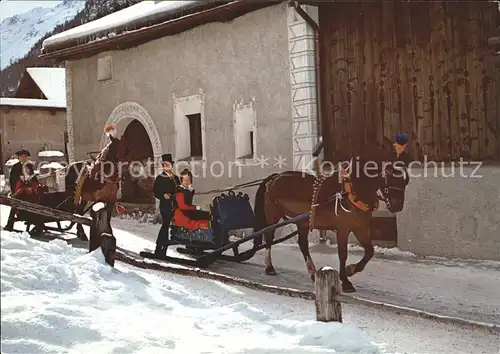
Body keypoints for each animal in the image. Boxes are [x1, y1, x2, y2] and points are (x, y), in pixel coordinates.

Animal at [252, 139, 408, 294]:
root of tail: (275, 177)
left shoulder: (360, 228)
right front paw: (345, 281)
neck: (351, 191)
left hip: (303, 222)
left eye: (406, 179)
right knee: (269, 237)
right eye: (390, 172)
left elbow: (370, 251)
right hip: (273, 216)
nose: (397, 206)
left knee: (303, 244)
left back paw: (313, 272)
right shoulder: (342, 229)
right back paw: (269, 267)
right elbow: (343, 254)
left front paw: (351, 270)